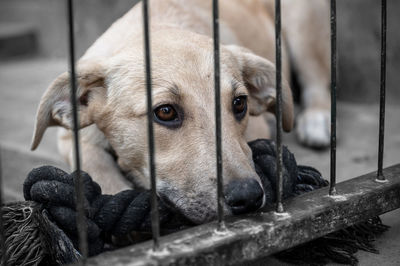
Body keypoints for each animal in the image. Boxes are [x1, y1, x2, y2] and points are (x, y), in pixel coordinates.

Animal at [30, 0, 332, 224]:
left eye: (239, 103)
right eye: (165, 112)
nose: (247, 197)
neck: (157, 28)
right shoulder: (72, 139)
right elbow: (101, 170)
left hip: (303, 23)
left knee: (317, 81)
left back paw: (317, 120)